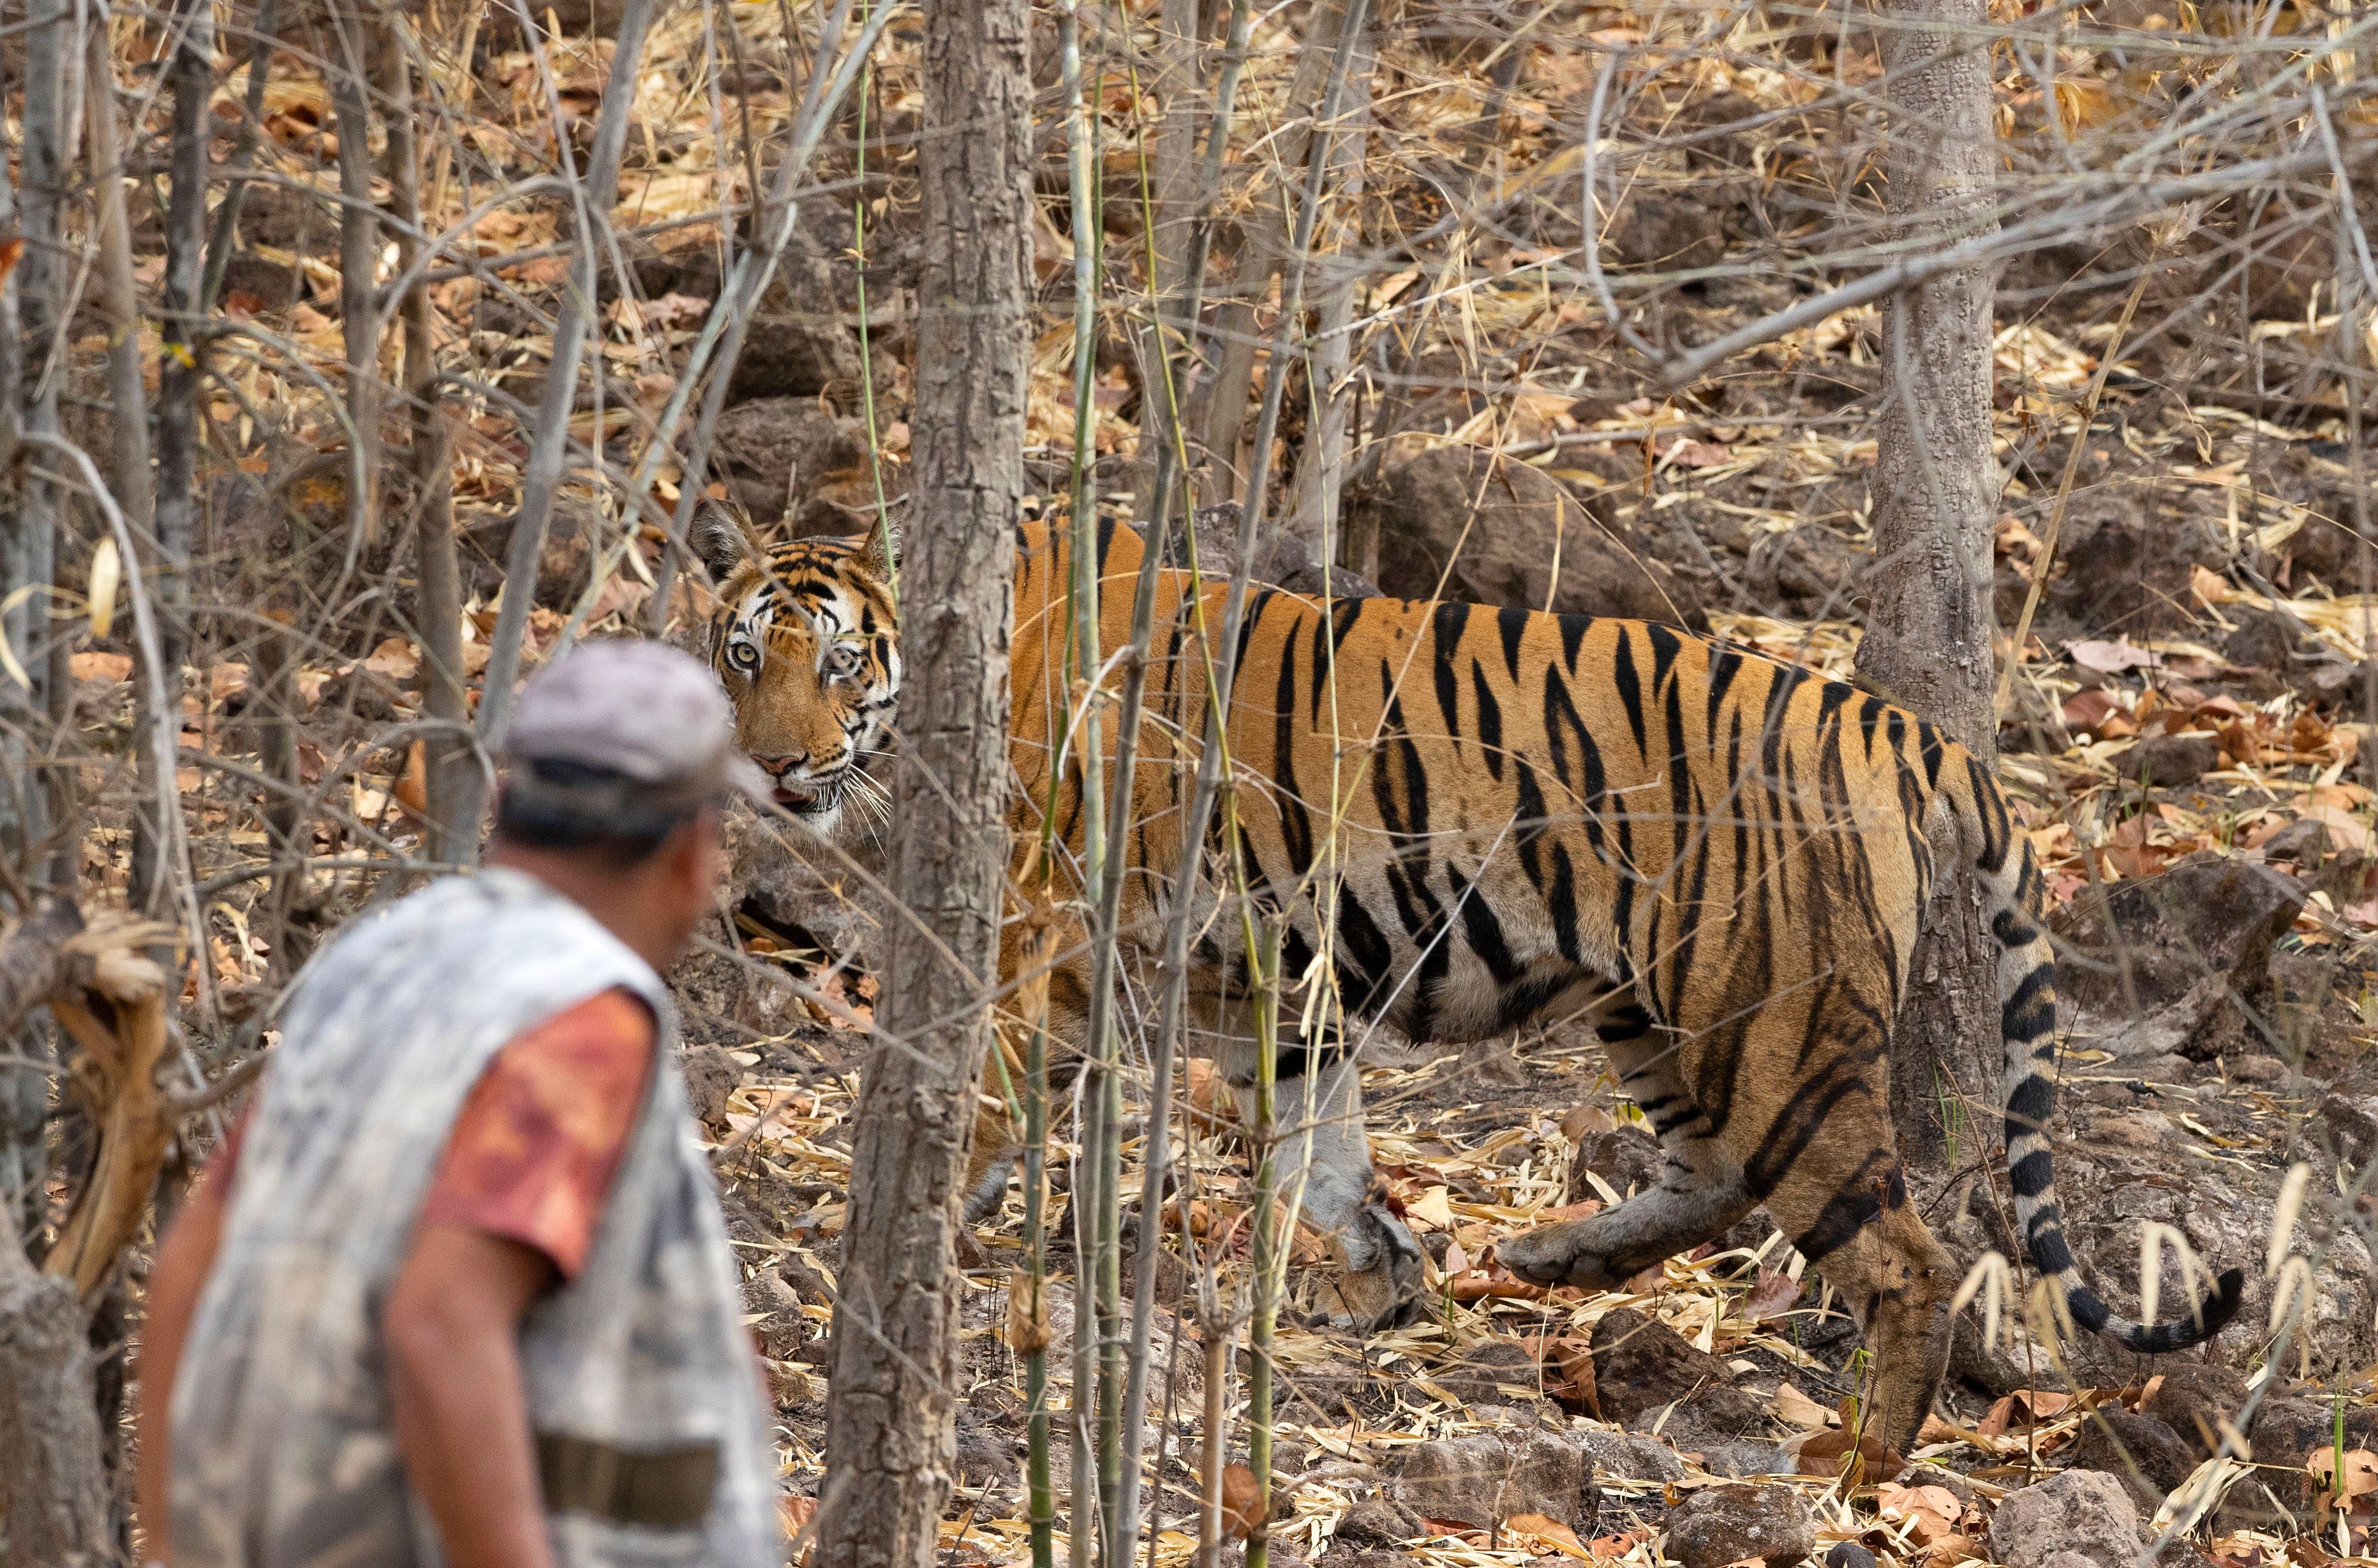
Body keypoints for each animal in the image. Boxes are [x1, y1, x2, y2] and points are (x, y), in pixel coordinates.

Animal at [693, 499, 2243, 1453]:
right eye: (742, 652)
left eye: (840, 664)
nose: (769, 765)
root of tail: (1887, 721)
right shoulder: (1269, 983)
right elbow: (1319, 1145)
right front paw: (1379, 1280)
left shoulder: (1050, 933)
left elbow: (985, 1087)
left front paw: (902, 1221)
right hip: (1659, 1007)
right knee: (1714, 1179)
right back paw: (1556, 1257)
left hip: (1773, 1026)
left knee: (1901, 1256)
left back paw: (1855, 1466)